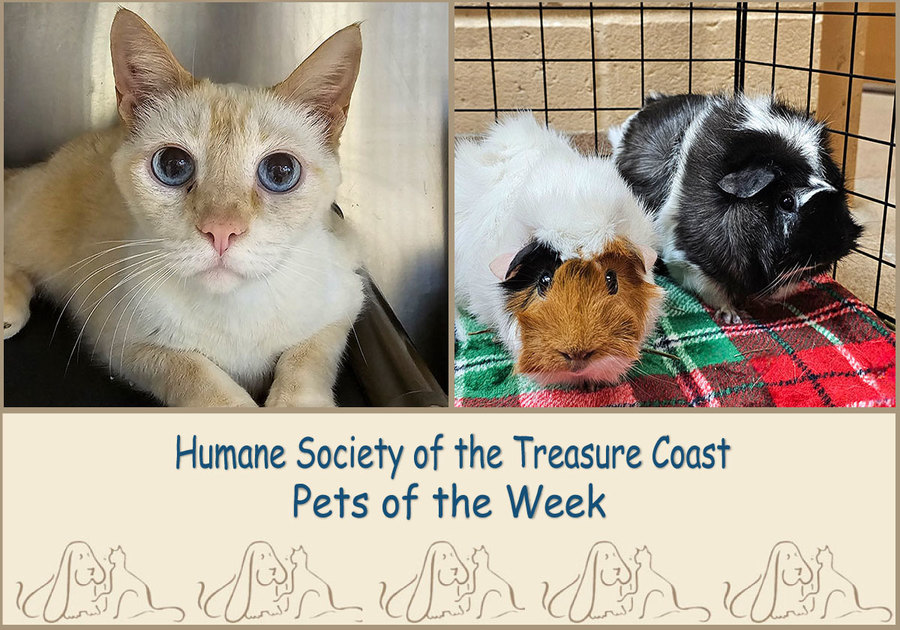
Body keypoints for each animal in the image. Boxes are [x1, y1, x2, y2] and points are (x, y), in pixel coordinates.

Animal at [4, 9, 362, 410]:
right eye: (173, 166)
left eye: (281, 172)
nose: (221, 231)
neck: (234, 309)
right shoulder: (127, 344)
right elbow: (204, 381)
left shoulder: (346, 300)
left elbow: (305, 361)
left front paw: (296, 405)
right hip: (37, 229)